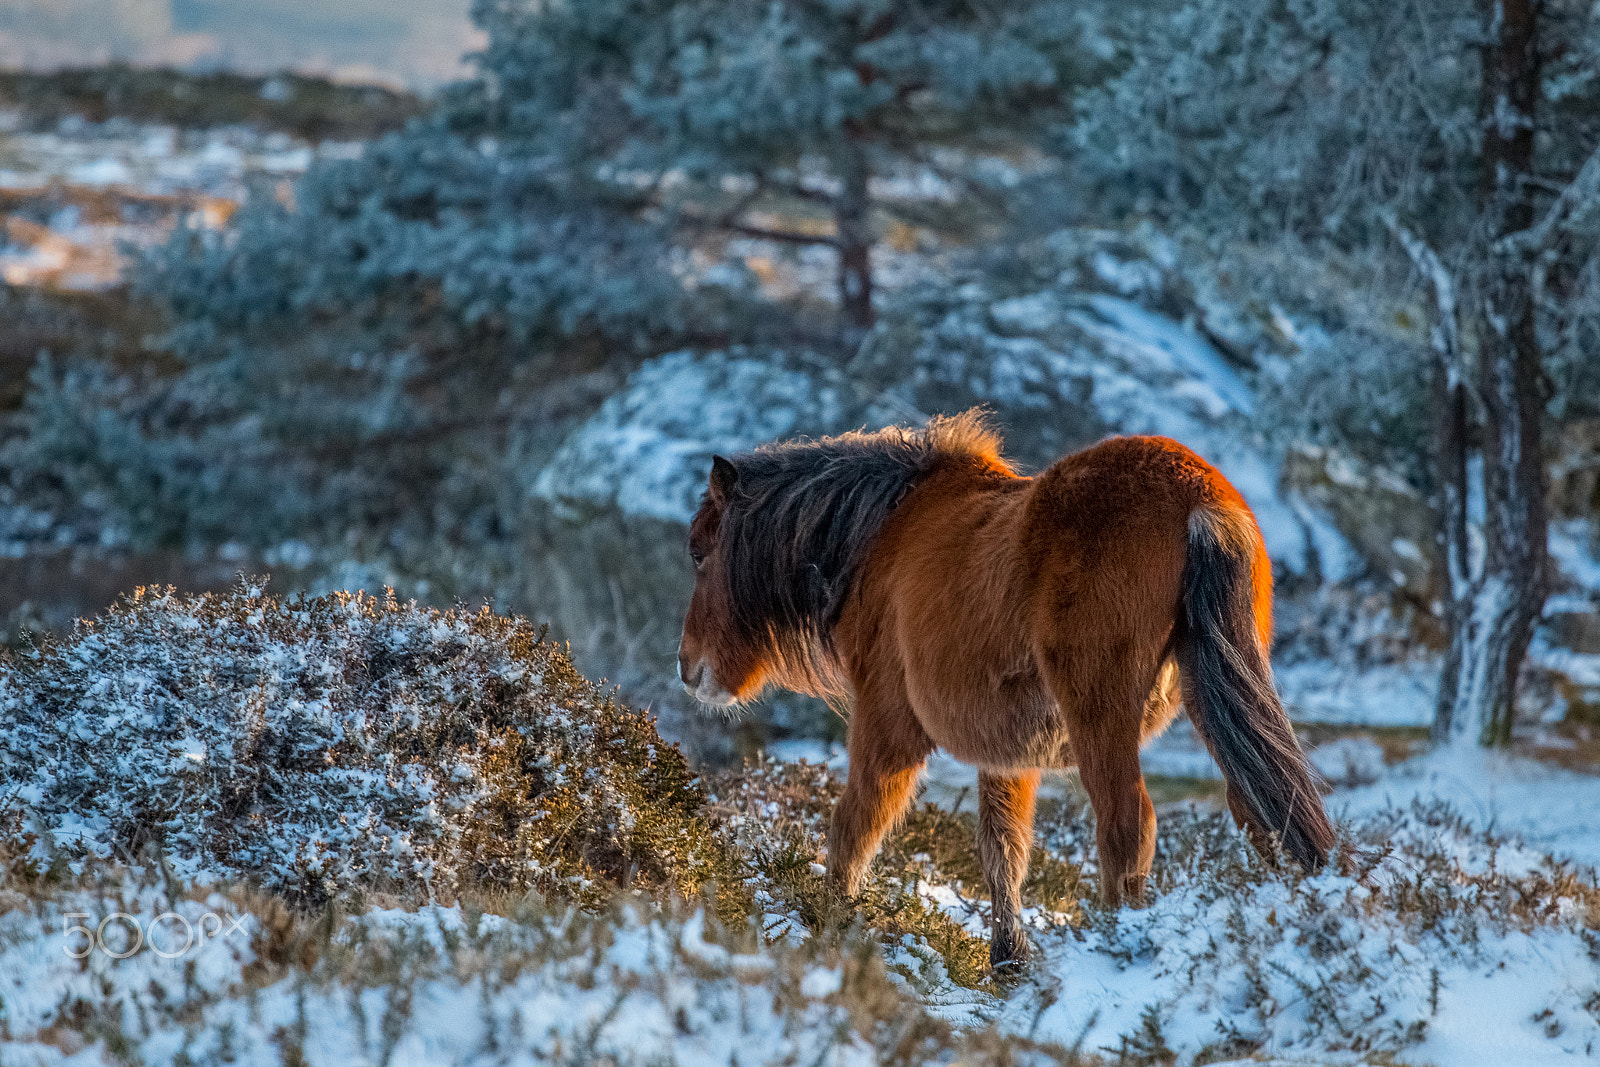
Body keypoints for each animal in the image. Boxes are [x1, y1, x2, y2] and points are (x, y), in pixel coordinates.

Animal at [677, 410, 1335, 968]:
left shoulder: (887, 722)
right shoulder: (1007, 754)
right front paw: (1008, 956)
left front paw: (828, 917)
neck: (881, 538)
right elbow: (1004, 848)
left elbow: (856, 823)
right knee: (1262, 811)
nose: (688, 669)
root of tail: (1200, 500)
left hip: (1101, 716)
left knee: (1128, 825)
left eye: (700, 553)